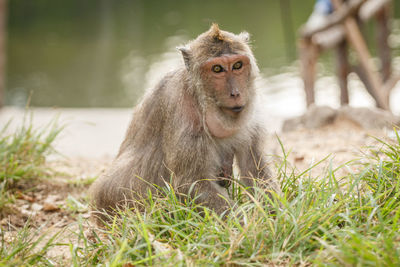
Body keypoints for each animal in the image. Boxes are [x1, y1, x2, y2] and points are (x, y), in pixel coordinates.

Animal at [89, 24, 280, 219]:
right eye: (217, 69)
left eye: (237, 65)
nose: (235, 93)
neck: (201, 100)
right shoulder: (183, 113)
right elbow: (192, 183)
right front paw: (246, 223)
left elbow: (254, 168)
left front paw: (276, 215)